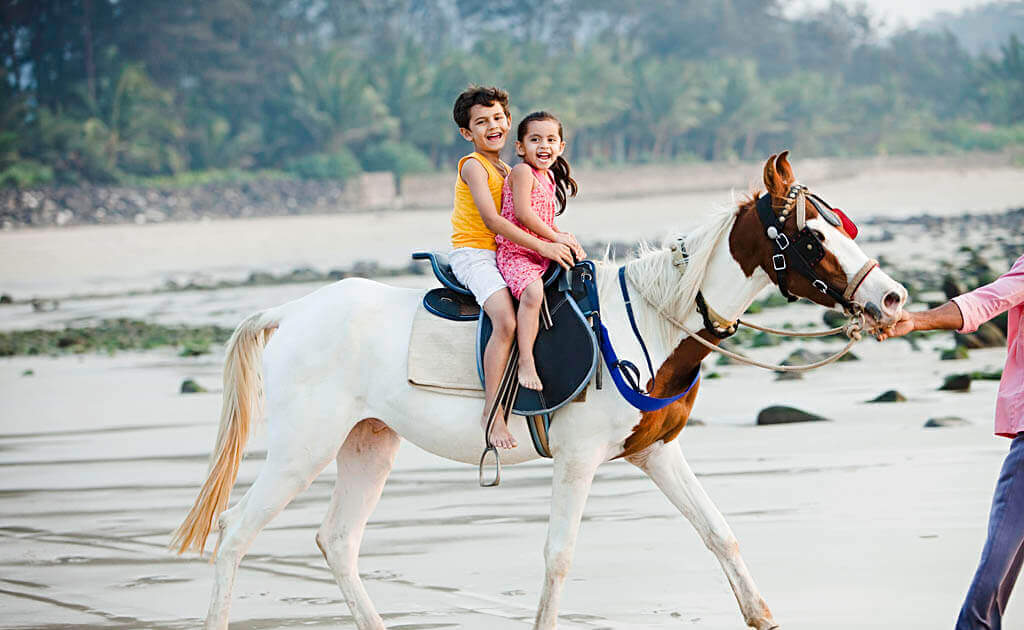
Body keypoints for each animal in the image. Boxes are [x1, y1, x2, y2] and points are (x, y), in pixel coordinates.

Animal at [172, 152, 907, 630]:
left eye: (841, 226)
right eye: (810, 237)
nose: (893, 297)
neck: (649, 322)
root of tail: (290, 312)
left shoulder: (656, 452)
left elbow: (719, 534)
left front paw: (762, 614)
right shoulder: (578, 461)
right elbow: (558, 558)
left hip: (368, 444)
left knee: (338, 542)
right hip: (305, 448)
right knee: (235, 533)